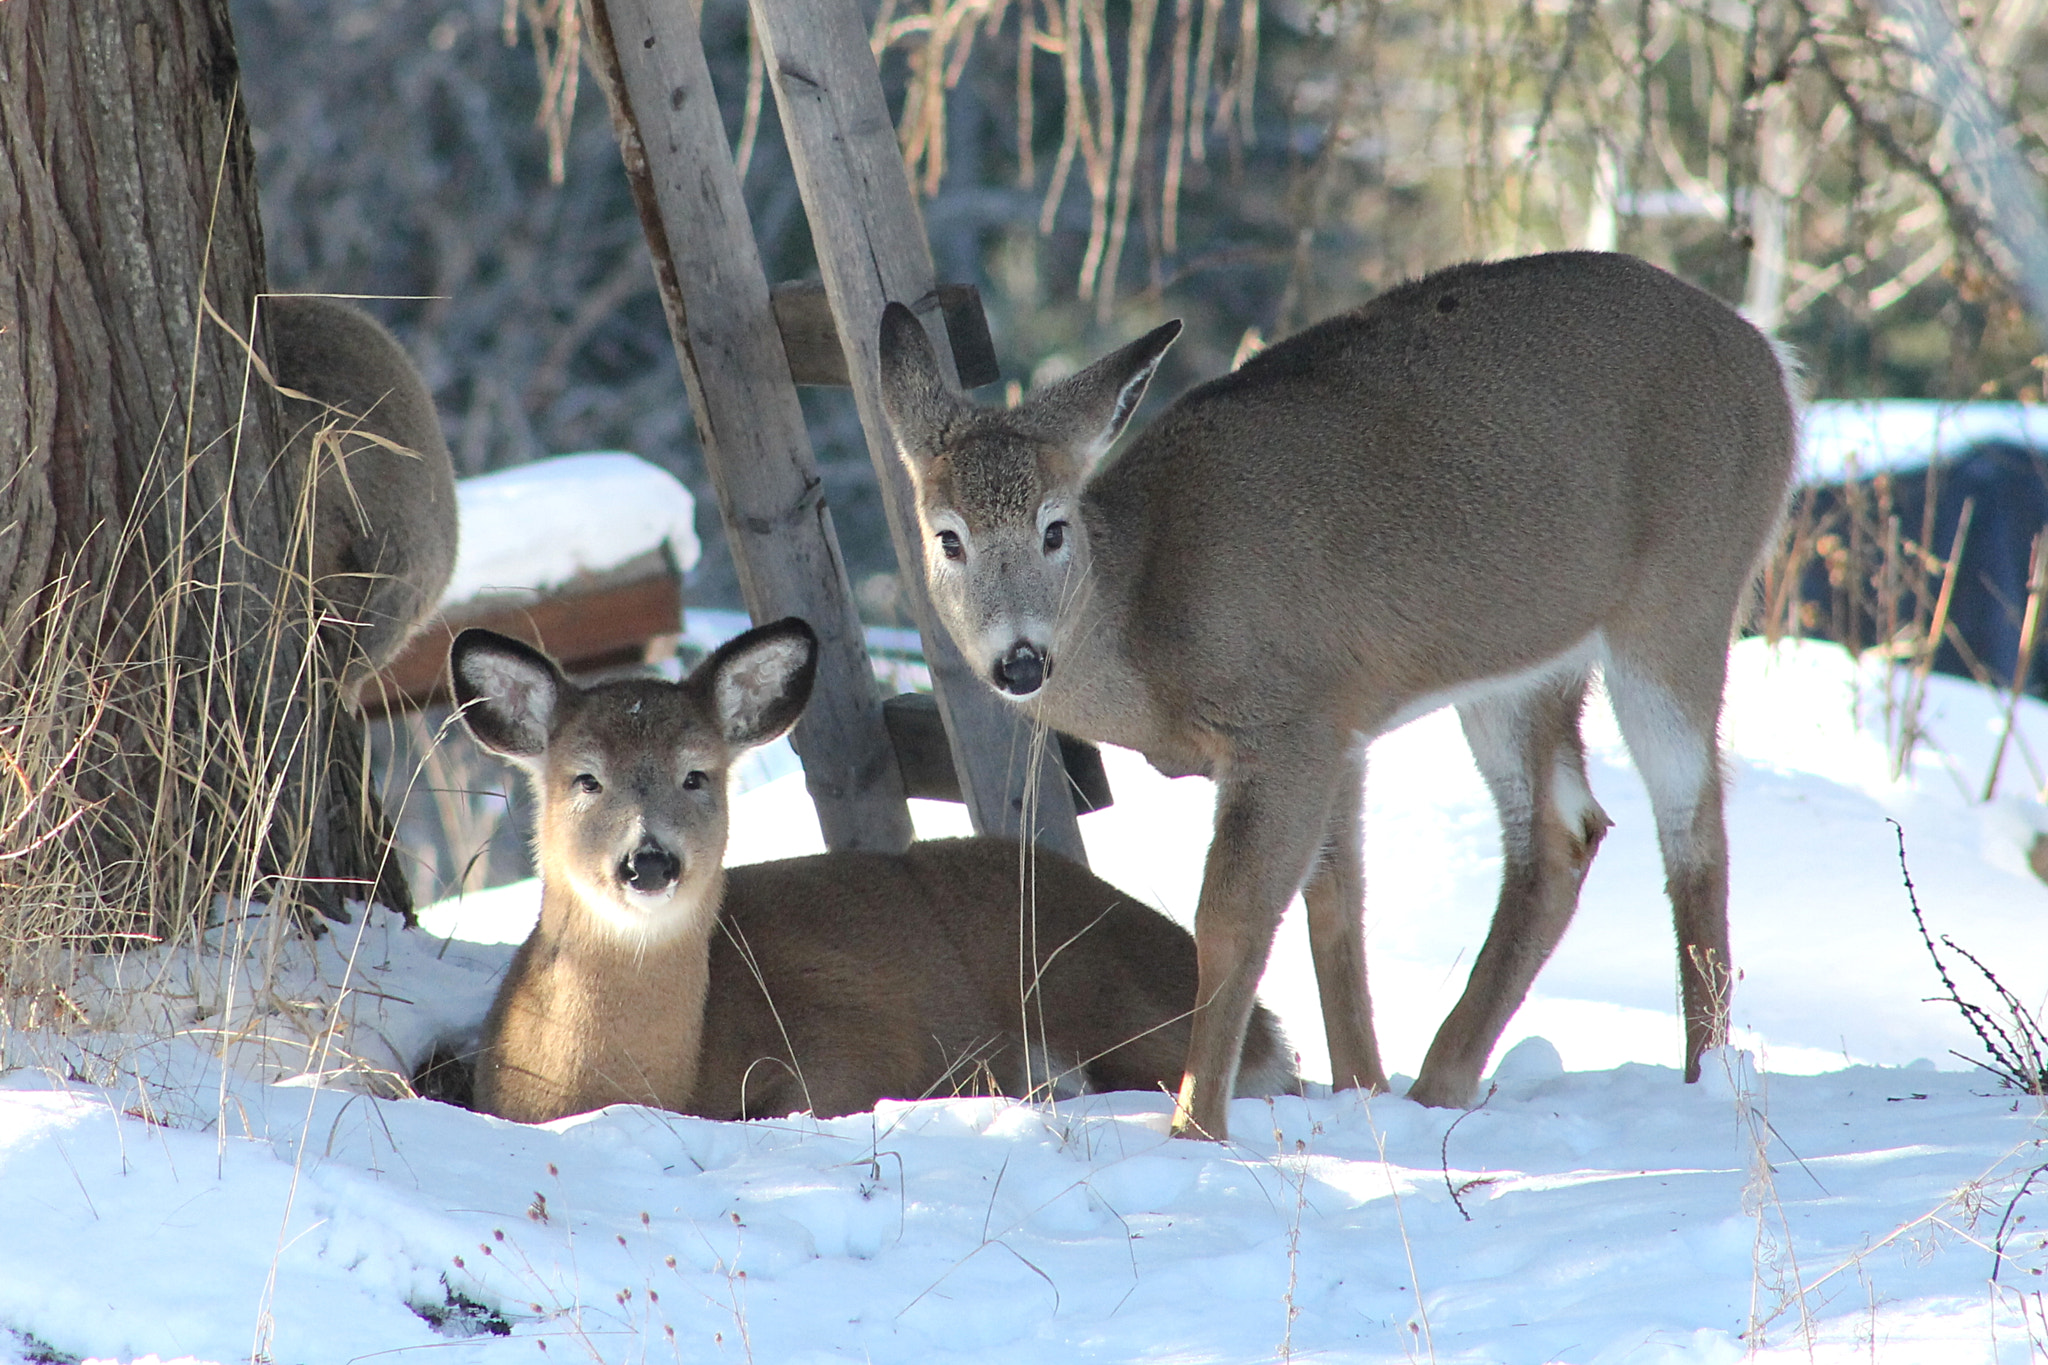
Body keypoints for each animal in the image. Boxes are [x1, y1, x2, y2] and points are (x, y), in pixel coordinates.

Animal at [876, 250, 1799, 1140]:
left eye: (1054, 527)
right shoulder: (1339, 725)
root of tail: (1770, 362)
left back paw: (1705, 1075)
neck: (1148, 624)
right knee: (1562, 830)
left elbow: (1232, 921)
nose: (1020, 660)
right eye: (948, 538)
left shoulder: (1286, 721)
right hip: (1520, 667)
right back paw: (1440, 1080)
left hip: (1682, 590)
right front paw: (1360, 1088)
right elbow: (1335, 908)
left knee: (1693, 822)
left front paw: (1195, 1125)